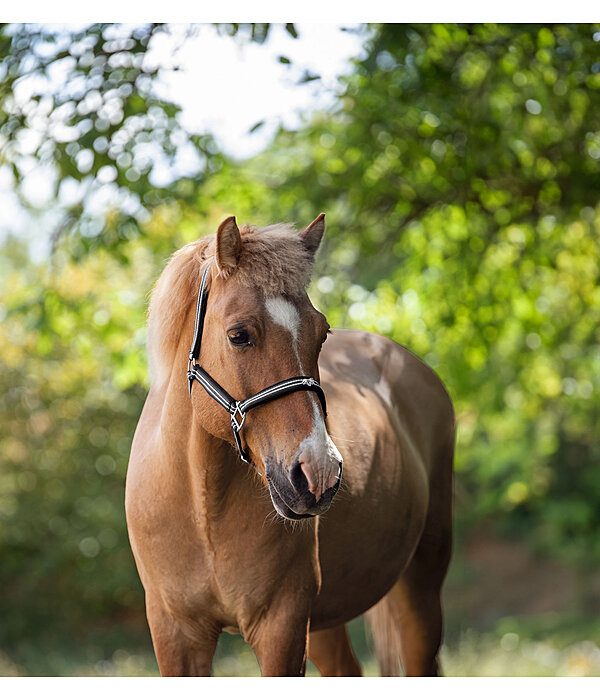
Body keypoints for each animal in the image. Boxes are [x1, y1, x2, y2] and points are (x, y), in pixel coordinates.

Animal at [126, 216, 454, 676]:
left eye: (322, 333)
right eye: (239, 335)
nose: (320, 472)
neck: (201, 507)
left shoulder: (281, 625)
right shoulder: (175, 634)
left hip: (420, 586)